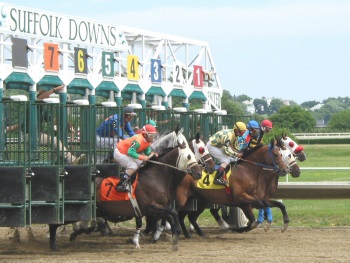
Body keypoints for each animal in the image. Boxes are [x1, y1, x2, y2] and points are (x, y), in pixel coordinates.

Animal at [49, 130, 202, 252]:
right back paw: (54, 244)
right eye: (189, 156)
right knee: (56, 223)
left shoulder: (158, 207)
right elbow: (171, 214)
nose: (199, 173)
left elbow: (168, 217)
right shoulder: (150, 206)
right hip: (79, 210)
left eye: (194, 154)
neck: (155, 177)